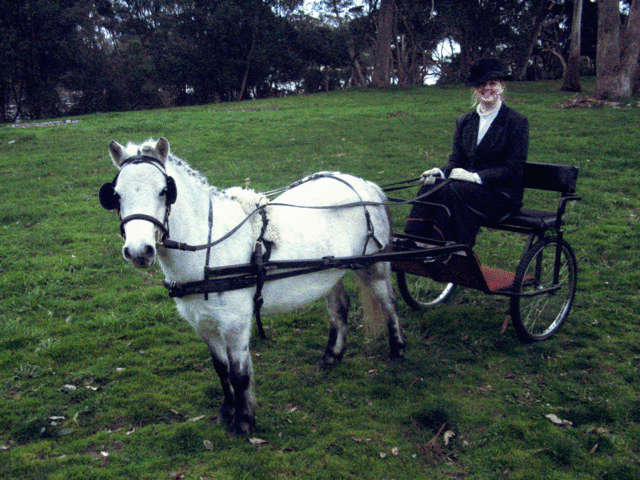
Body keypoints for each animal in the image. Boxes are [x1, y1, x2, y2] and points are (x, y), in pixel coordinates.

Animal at [100, 137, 404, 434]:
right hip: (330, 271)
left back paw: (397, 352)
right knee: (340, 309)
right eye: (117, 195)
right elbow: (221, 370)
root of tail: (365, 185)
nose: (139, 251)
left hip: (375, 267)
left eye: (164, 191)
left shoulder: (234, 324)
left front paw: (244, 420)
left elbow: (239, 373)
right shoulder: (203, 323)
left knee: (389, 304)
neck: (210, 246)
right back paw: (332, 356)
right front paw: (227, 412)